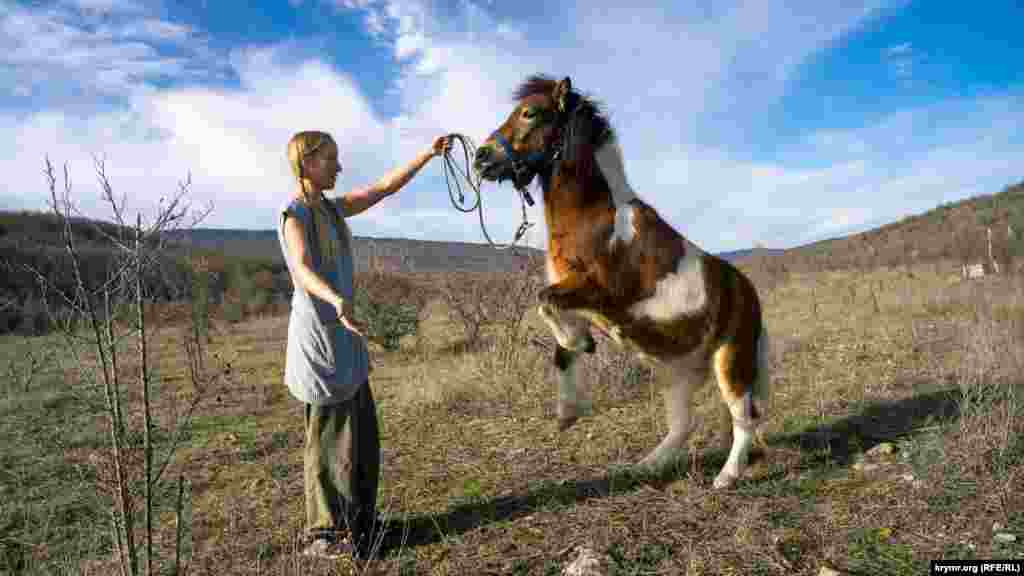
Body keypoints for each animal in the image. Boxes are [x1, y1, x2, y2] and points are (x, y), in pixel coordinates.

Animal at [471, 75, 770, 487]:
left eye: (530, 112)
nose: (481, 157)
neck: (596, 219)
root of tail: (747, 292)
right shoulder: (576, 298)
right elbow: (559, 345)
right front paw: (568, 409)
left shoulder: (601, 291)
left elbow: (545, 301)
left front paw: (580, 345)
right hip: (677, 371)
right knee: (685, 424)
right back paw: (647, 466)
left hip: (730, 359)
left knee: (744, 416)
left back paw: (726, 476)